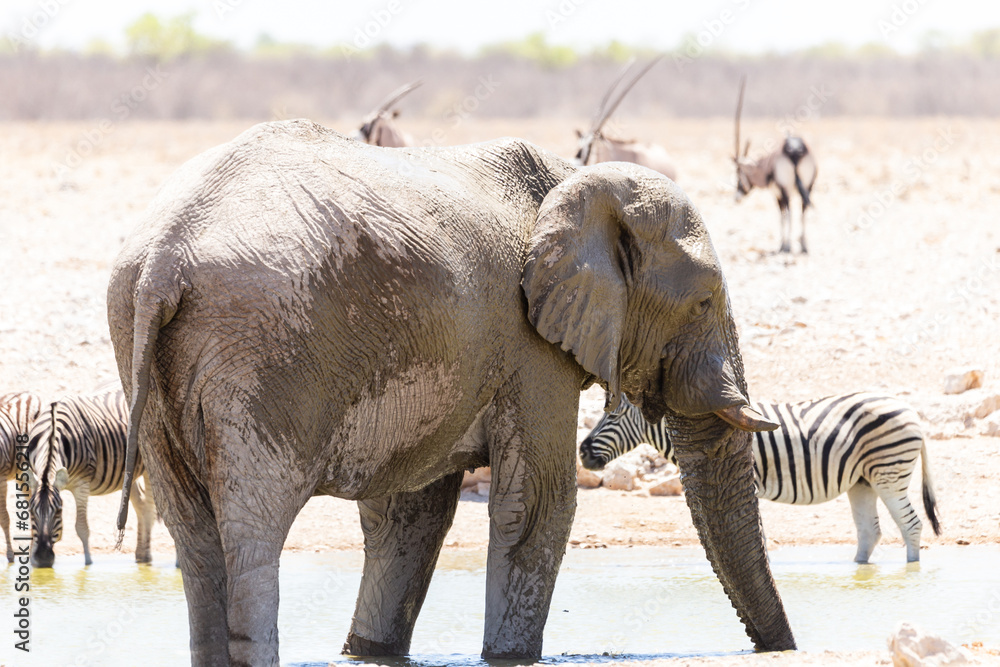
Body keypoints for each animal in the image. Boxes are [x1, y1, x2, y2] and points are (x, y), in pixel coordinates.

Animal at [107, 119, 795, 665]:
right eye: (703, 300)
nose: (782, 650)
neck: (574, 179)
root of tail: (163, 258)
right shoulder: (529, 345)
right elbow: (538, 504)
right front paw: (510, 658)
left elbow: (411, 516)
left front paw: (370, 653)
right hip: (264, 358)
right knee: (253, 531)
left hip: (150, 353)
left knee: (195, 536)